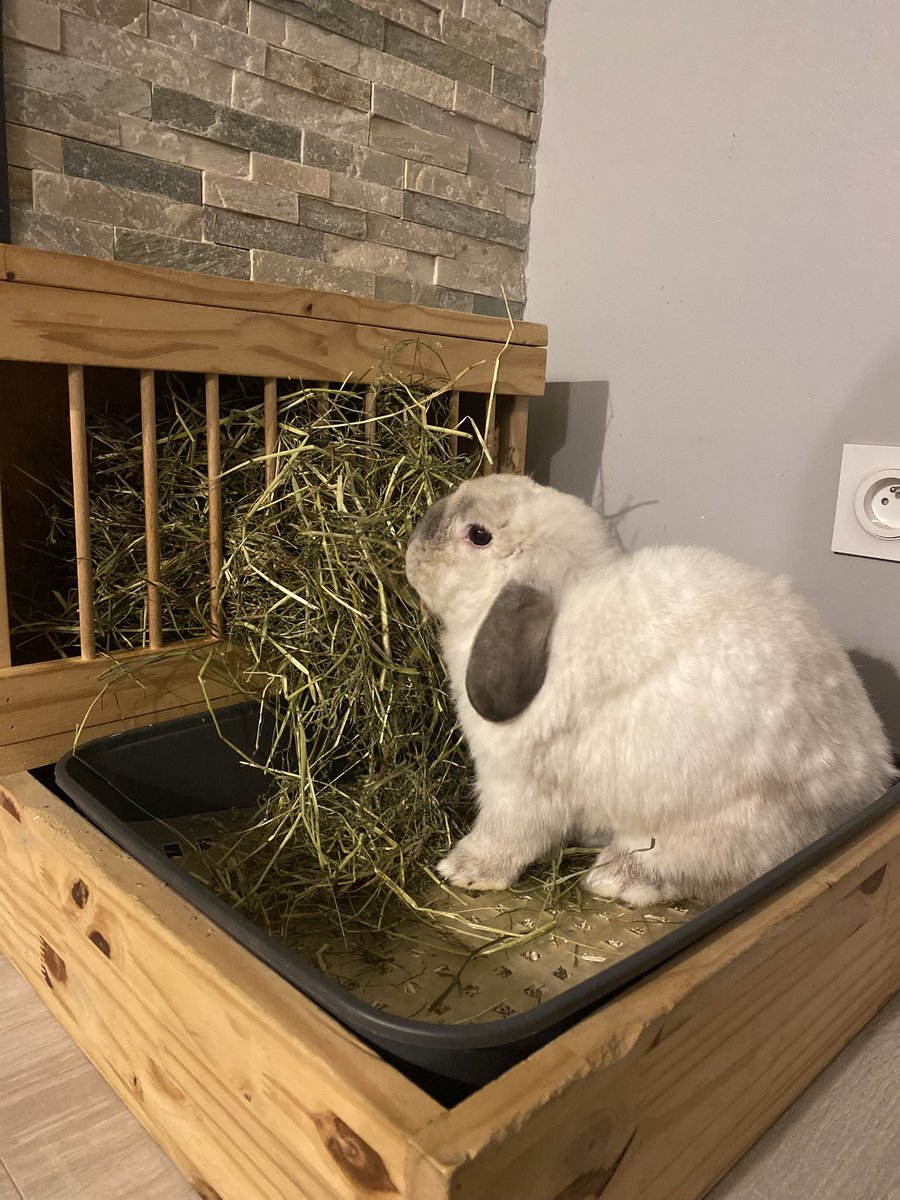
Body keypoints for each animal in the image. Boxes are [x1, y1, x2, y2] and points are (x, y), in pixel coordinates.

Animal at [405, 473, 896, 906]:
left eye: (478, 535)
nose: (413, 547)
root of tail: (859, 787)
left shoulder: (518, 783)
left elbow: (506, 834)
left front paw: (465, 869)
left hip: (709, 823)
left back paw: (616, 878)